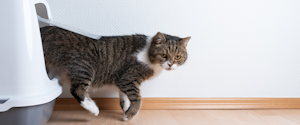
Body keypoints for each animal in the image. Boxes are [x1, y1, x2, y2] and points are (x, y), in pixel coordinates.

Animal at [40, 26, 190, 120]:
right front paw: (130, 115)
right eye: (164, 55)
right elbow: (138, 99)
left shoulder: (121, 81)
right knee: (77, 90)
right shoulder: (128, 78)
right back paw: (94, 109)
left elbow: (125, 98)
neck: (148, 54)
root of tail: (45, 29)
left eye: (178, 57)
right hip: (84, 66)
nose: (170, 64)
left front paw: (126, 110)